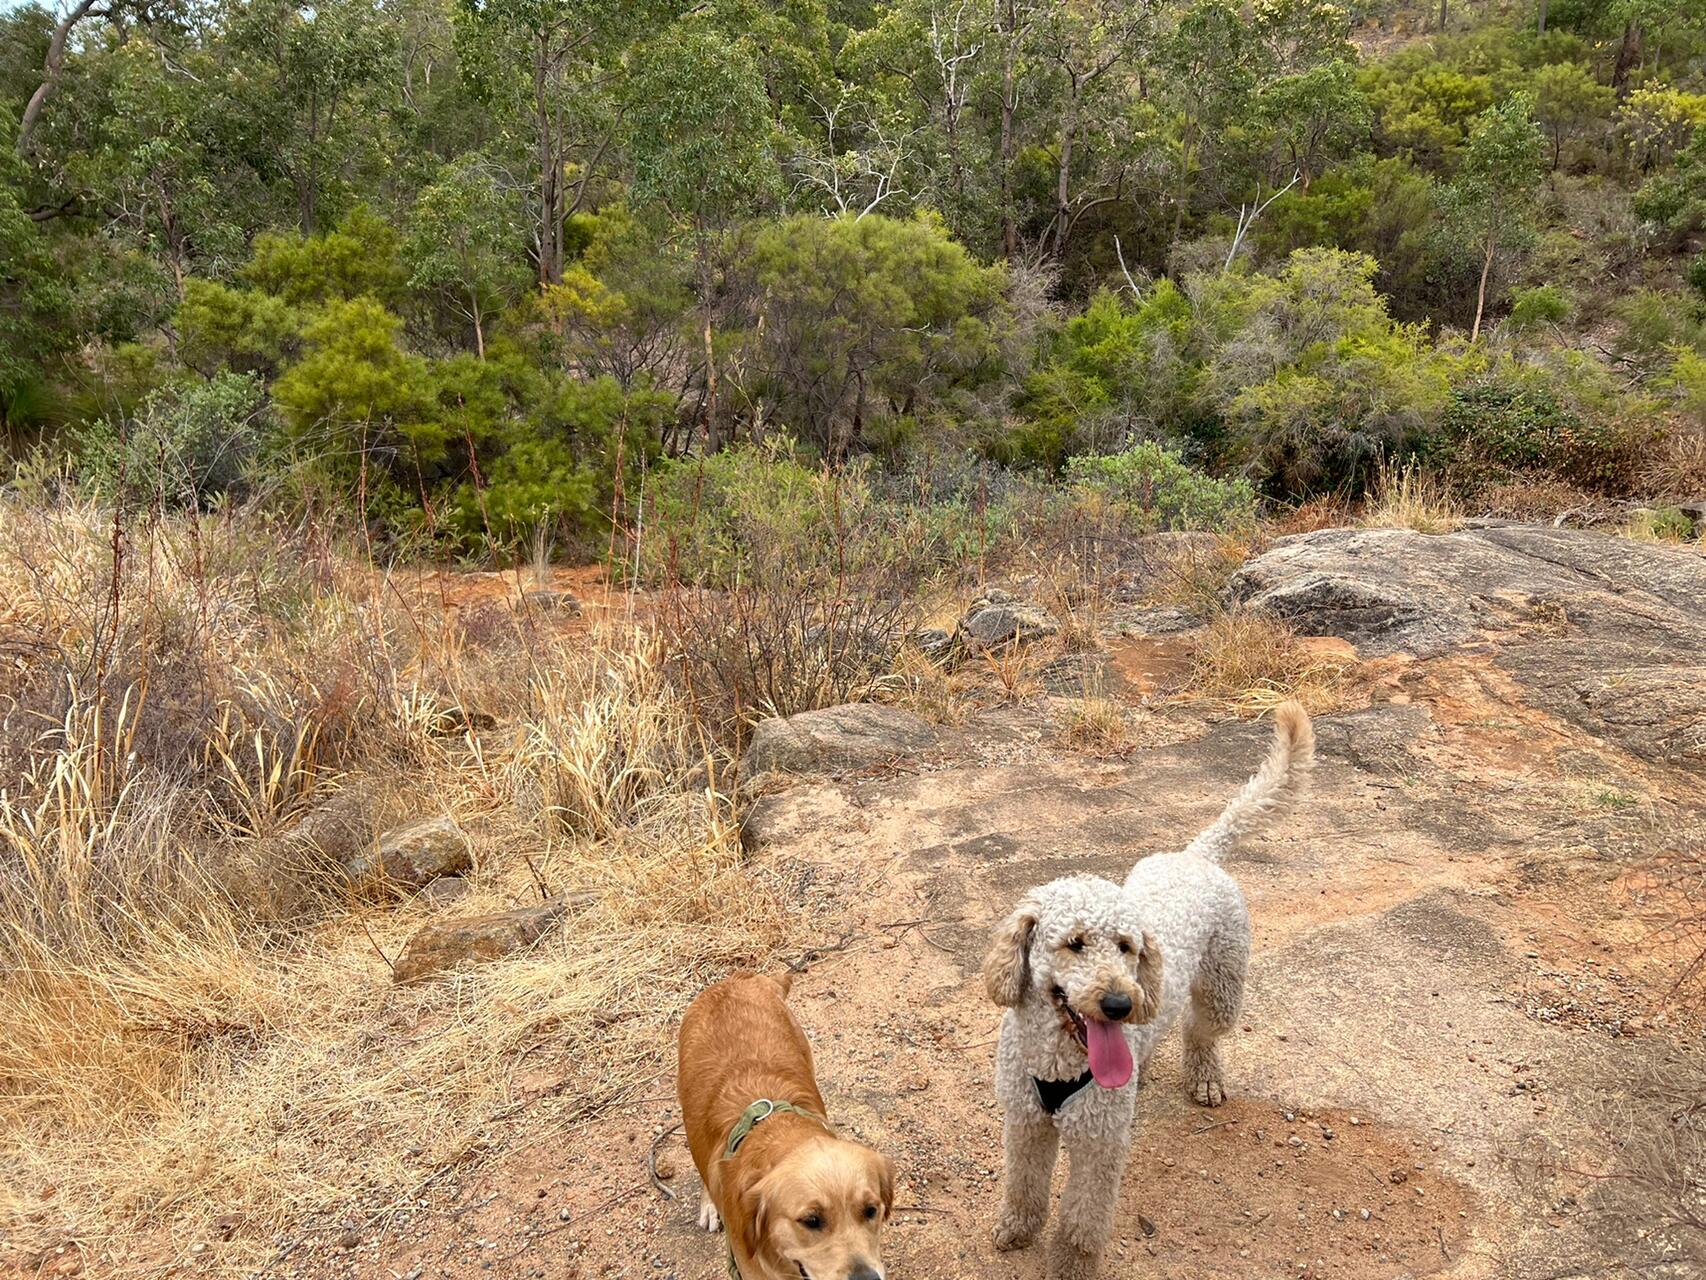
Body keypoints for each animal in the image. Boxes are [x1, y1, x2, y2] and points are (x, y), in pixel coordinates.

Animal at [982, 706, 1310, 1276]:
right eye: (1074, 943)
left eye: (1126, 945)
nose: (1119, 1004)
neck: (1057, 1062)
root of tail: (1197, 855)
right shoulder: (1025, 1121)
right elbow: (1023, 1186)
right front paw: (1018, 1229)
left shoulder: (1099, 1143)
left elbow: (1081, 1223)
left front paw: (1070, 1267)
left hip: (1223, 987)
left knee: (1201, 1032)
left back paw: (1204, 1078)